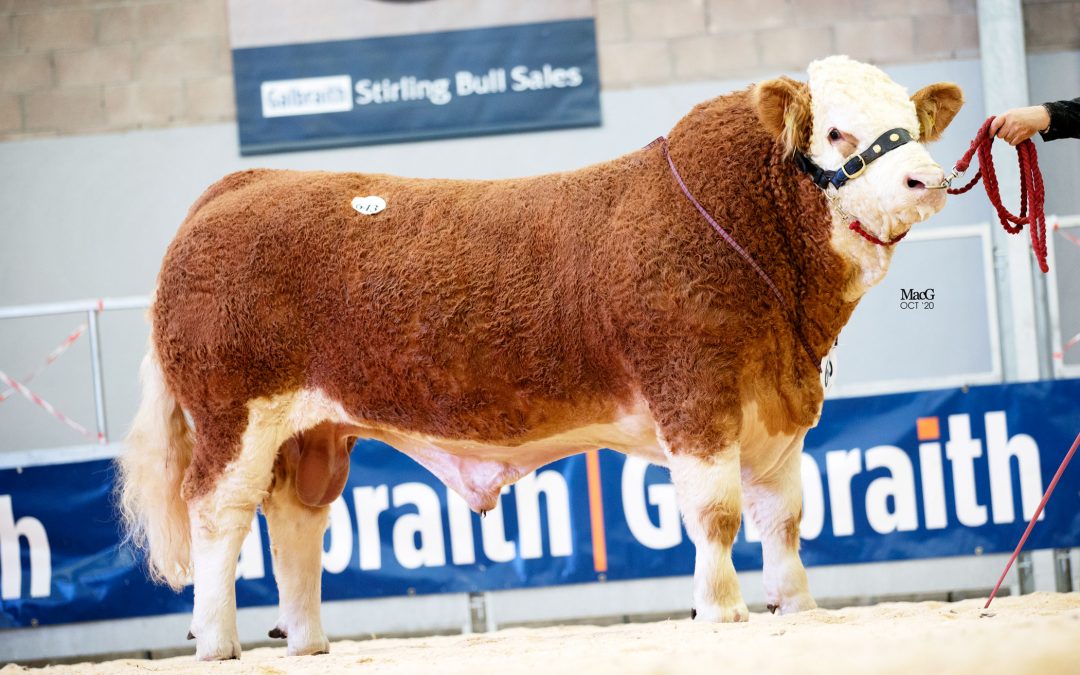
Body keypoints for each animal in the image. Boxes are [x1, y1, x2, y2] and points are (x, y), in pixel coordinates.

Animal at [118, 57, 963, 656]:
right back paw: (217, 642)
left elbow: (783, 519)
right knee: (218, 516)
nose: (927, 178)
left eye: (913, 124)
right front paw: (722, 610)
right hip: (232, 414)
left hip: (313, 433)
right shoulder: (697, 397)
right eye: (838, 133)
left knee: (296, 522)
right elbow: (717, 515)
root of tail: (242, 184)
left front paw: (799, 608)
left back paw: (309, 642)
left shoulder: (779, 412)